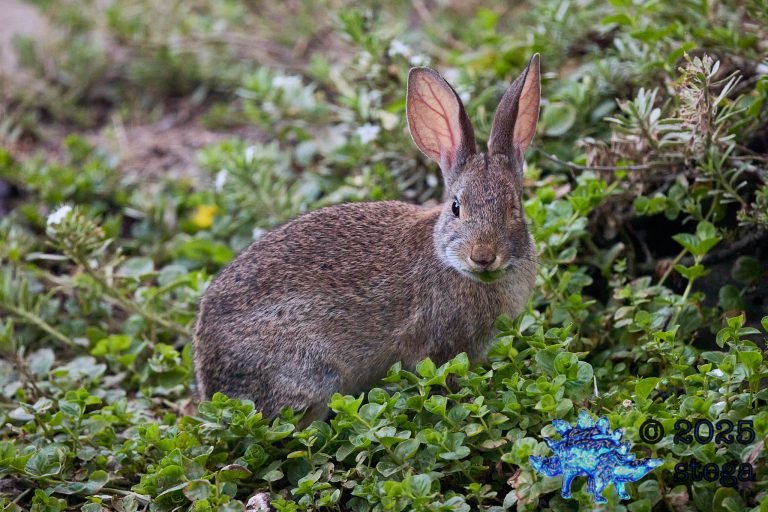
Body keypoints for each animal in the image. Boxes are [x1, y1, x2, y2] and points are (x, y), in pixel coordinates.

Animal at [194, 54, 541, 423]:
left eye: (514, 207)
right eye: (456, 207)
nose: (483, 255)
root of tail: (209, 380)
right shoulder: (435, 347)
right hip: (314, 375)